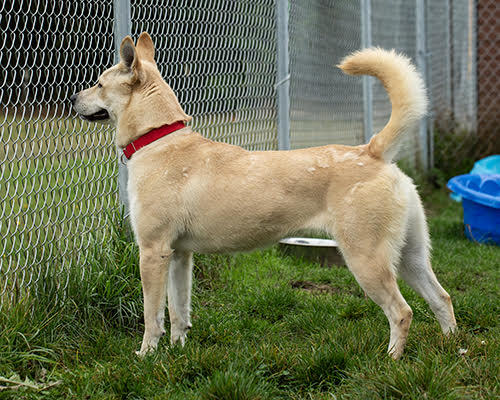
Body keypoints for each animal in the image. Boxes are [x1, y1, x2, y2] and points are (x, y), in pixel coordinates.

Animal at [70, 32, 458, 360]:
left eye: (100, 83)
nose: (72, 98)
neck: (159, 137)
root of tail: (372, 151)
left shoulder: (152, 252)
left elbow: (153, 315)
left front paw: (146, 356)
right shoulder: (179, 255)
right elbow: (179, 311)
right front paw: (179, 351)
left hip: (366, 259)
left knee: (402, 311)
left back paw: (391, 359)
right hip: (411, 256)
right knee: (442, 297)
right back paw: (453, 346)